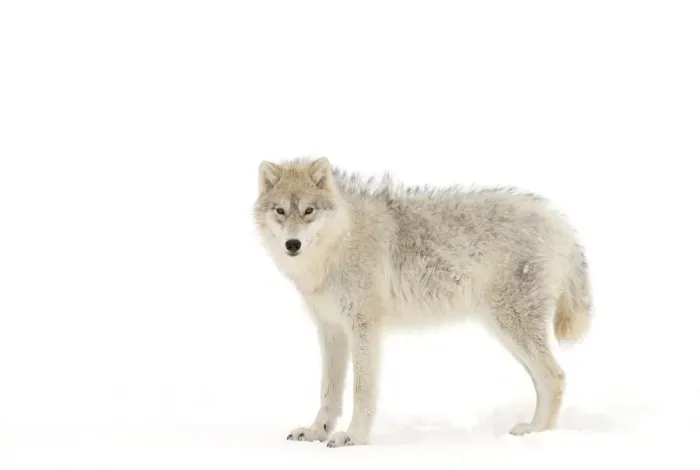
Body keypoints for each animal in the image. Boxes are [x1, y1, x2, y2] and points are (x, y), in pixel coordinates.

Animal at [252, 156, 592, 448]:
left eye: (309, 210)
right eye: (280, 211)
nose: (292, 244)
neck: (337, 246)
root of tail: (558, 220)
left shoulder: (364, 328)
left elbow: (362, 390)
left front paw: (354, 437)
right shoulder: (331, 330)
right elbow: (328, 391)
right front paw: (316, 432)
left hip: (512, 327)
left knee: (555, 377)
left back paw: (536, 433)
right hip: (506, 333)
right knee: (545, 380)